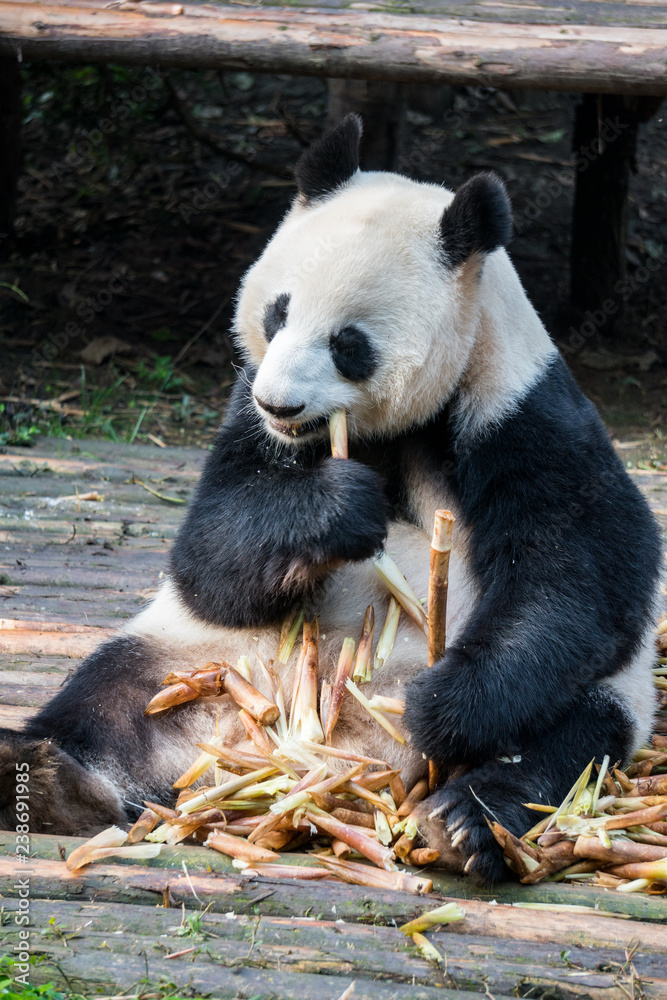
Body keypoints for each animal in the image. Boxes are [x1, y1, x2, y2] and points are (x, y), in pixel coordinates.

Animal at [0, 114, 661, 884]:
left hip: (602, 698)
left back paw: (463, 820)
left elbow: (581, 573)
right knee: (111, 696)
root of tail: (339, 755)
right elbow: (209, 555)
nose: (279, 403)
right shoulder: (245, 417)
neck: (398, 429)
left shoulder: (519, 410)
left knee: (564, 740)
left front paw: (440, 705)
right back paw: (47, 777)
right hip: (196, 657)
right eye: (277, 312)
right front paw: (338, 508)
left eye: (349, 343)